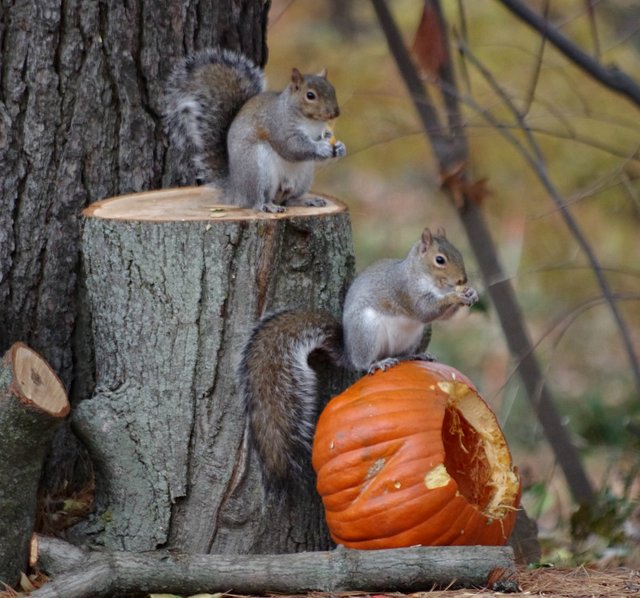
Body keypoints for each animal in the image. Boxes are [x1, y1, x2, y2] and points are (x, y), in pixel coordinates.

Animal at [162, 48, 348, 214]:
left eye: (333, 90)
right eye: (310, 95)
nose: (335, 113)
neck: (311, 122)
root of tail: (236, 191)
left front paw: (339, 147)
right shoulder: (278, 125)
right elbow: (292, 147)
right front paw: (321, 147)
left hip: (303, 176)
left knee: (289, 199)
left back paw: (306, 200)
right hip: (258, 170)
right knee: (256, 201)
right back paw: (267, 206)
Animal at [241, 227, 480, 490]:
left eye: (458, 252)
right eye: (440, 260)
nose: (462, 281)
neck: (423, 277)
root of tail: (350, 351)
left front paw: (471, 294)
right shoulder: (405, 291)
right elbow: (425, 310)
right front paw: (455, 297)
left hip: (416, 335)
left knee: (402, 353)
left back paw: (416, 354)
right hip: (368, 332)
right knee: (364, 363)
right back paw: (378, 363)